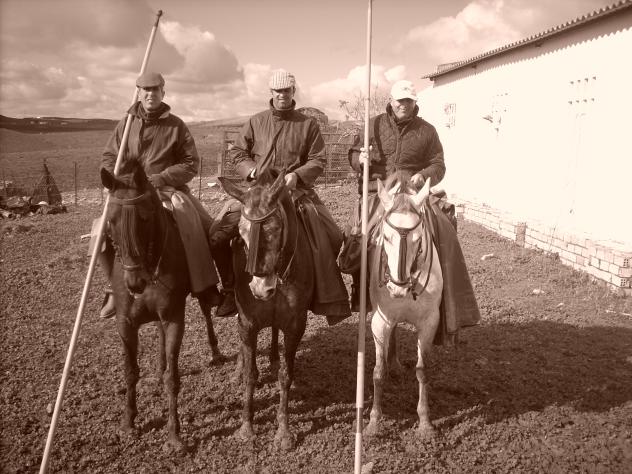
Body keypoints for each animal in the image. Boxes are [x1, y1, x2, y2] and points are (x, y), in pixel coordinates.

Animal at [100, 159, 223, 452]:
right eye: (111, 220)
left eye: (144, 218)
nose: (134, 283)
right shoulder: (126, 324)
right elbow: (130, 372)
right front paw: (128, 423)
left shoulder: (174, 318)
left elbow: (172, 379)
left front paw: (174, 435)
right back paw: (158, 367)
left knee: (206, 313)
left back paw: (214, 352)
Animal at [219, 169, 313, 451]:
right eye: (241, 232)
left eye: (274, 229)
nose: (260, 289)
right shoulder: (248, 323)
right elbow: (250, 374)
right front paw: (246, 428)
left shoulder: (295, 326)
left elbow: (286, 375)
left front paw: (283, 432)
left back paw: (272, 359)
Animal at [364, 175, 443, 439]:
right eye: (386, 236)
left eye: (418, 239)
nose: (397, 288)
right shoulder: (380, 322)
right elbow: (378, 372)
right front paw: (373, 421)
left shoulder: (429, 323)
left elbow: (423, 370)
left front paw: (425, 421)